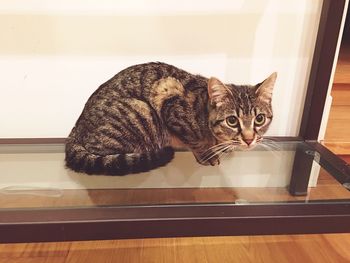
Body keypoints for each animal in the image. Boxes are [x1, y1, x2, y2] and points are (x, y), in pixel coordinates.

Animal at [65, 62, 278, 176]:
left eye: (259, 119)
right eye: (232, 121)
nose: (249, 139)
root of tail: (75, 128)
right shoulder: (168, 97)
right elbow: (195, 142)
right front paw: (208, 155)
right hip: (142, 112)